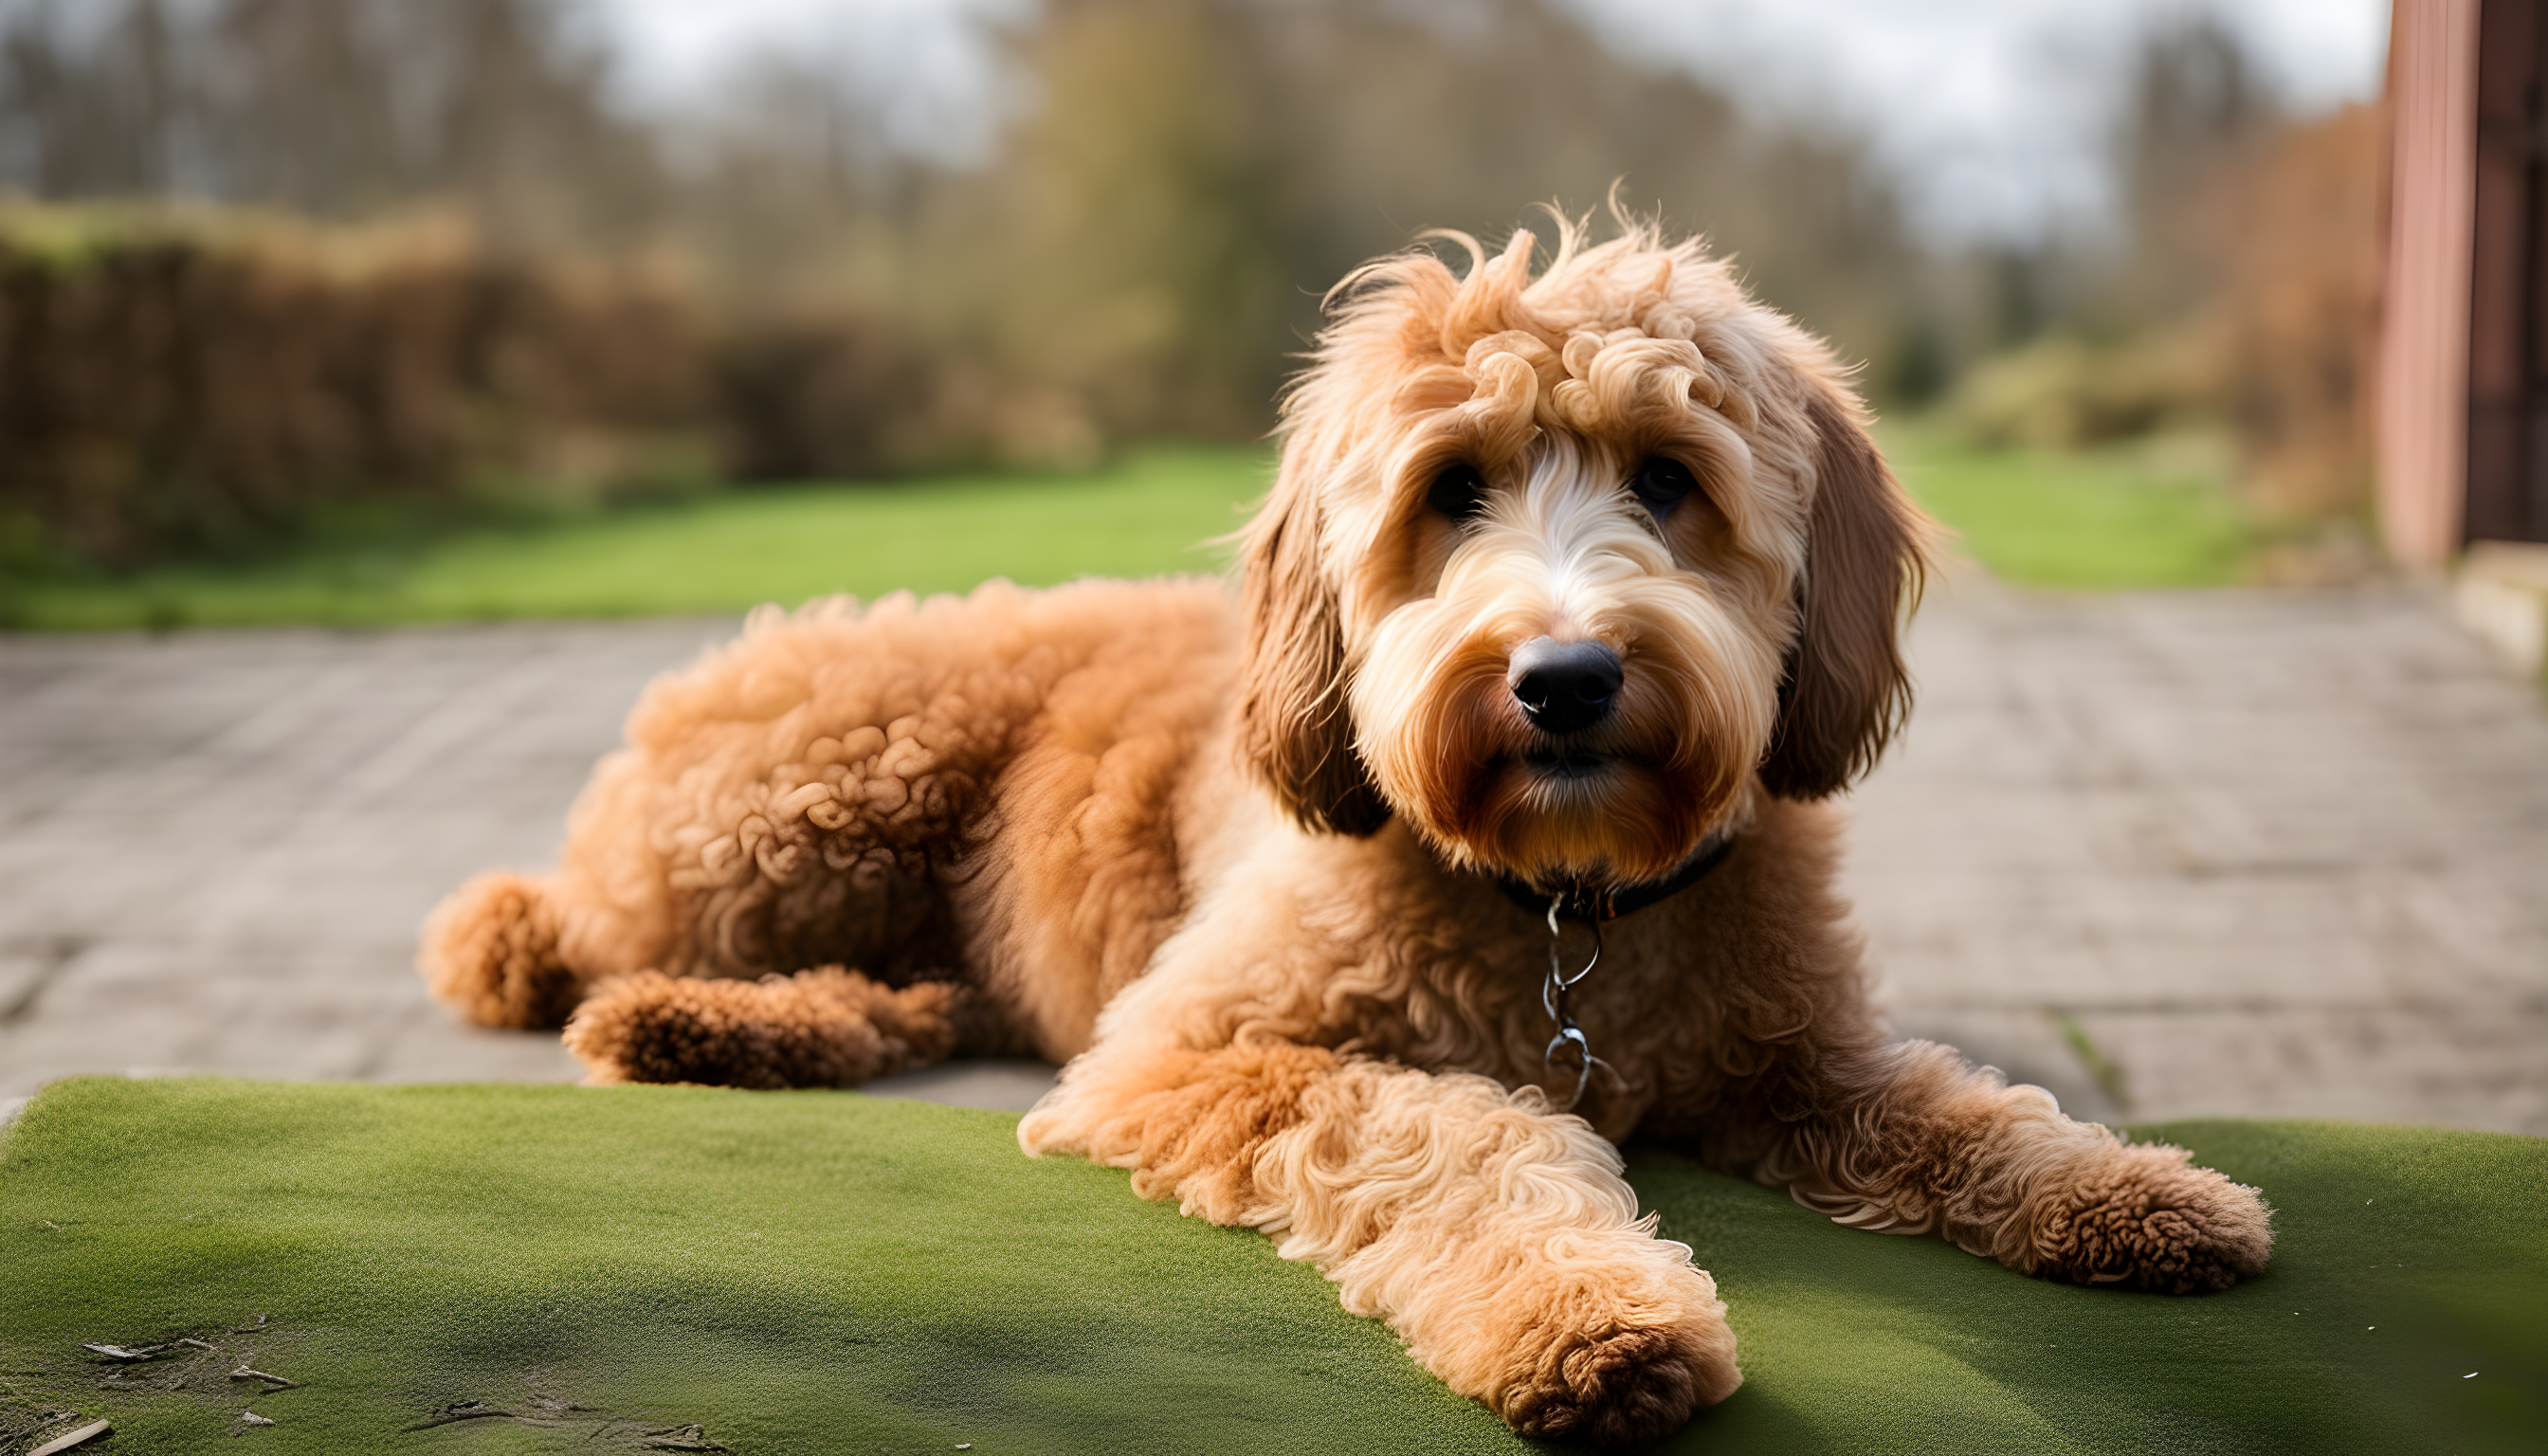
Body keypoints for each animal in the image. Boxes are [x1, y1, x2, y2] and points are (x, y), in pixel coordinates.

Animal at [412, 213, 2272, 1447]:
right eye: (1451, 489)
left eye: (1668, 479)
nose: (1564, 678)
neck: (1567, 908)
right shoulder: (1192, 1050)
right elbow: (1462, 1133)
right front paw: (1592, 1314)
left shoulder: (1799, 1051)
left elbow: (1961, 1109)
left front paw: (2131, 1189)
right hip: (788, 824)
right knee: (558, 941)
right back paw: (643, 1004)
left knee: (891, 1003)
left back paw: (703, 1033)